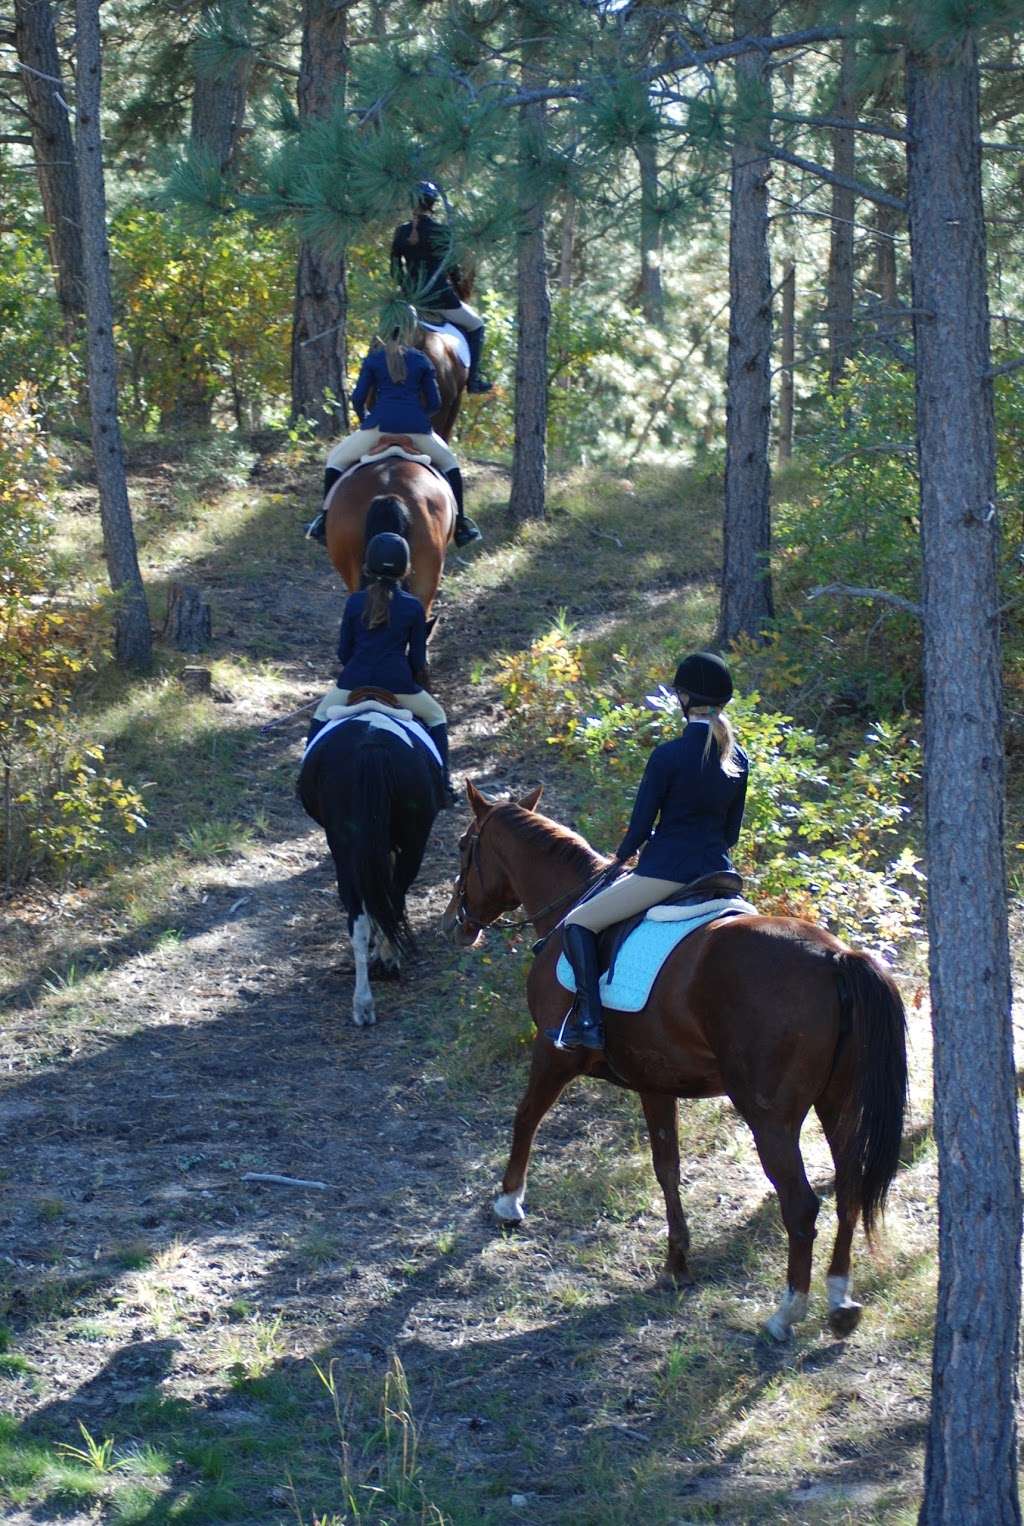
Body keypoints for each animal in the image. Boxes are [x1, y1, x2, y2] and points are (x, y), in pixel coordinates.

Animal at [296, 705, 439, 1025]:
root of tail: (370, 749)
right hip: (412, 844)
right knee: (391, 899)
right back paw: (384, 968)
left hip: (347, 850)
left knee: (362, 915)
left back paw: (364, 1001)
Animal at [445, 793, 909, 1342]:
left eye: (464, 846)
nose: (456, 923)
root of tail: (837, 957)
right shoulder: (655, 1081)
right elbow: (667, 1167)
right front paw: (677, 1263)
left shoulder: (554, 1052)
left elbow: (526, 1117)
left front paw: (508, 1203)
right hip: (838, 1103)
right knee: (850, 1185)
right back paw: (840, 1300)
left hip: (770, 1119)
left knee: (800, 1205)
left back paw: (787, 1312)